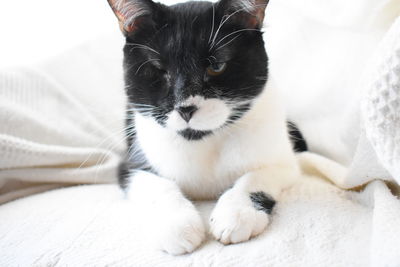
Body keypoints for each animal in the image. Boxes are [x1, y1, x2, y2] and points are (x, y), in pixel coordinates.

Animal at [108, 0, 302, 256]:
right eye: (160, 70)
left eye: (216, 66)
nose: (186, 108)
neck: (203, 141)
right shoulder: (131, 162)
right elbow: (157, 185)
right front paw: (178, 226)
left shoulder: (285, 163)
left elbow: (256, 177)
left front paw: (237, 214)